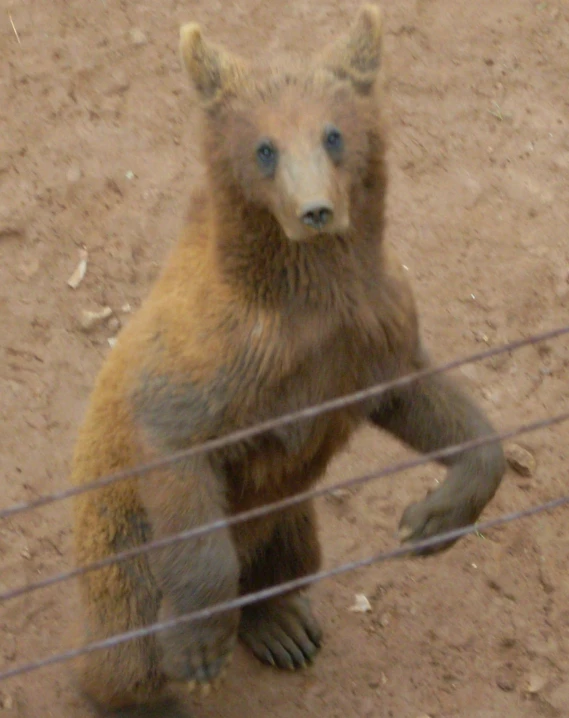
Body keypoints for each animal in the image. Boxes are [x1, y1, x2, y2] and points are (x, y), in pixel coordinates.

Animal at [70, 4, 506, 716]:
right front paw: (198, 648)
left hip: (292, 514)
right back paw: (153, 688)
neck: (311, 296)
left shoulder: (370, 336)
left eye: (332, 134)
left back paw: (282, 625)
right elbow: (174, 448)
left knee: (291, 555)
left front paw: (432, 518)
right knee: (122, 648)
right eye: (265, 147)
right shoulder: (225, 361)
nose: (316, 211)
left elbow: (429, 402)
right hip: (118, 551)